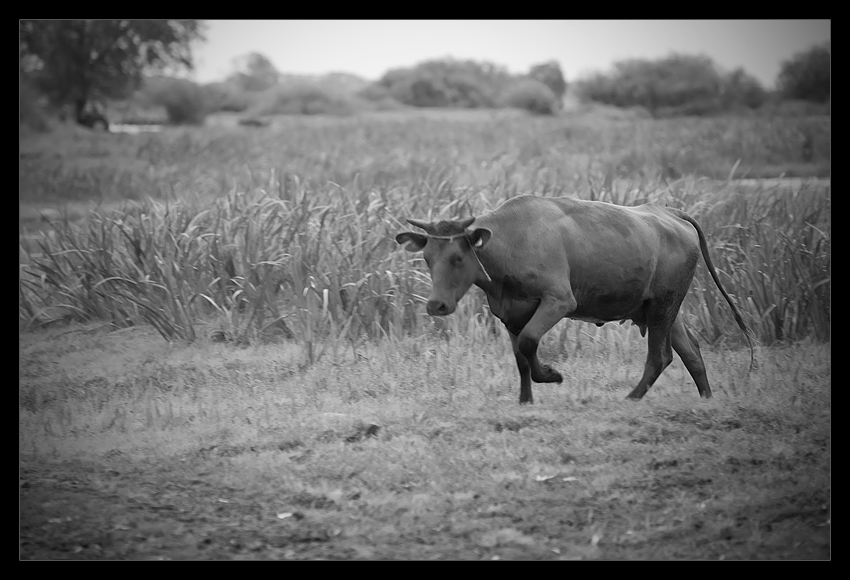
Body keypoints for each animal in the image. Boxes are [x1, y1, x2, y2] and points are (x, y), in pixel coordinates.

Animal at [394, 195, 752, 404]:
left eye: (457, 257)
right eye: (427, 257)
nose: (436, 305)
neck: (511, 240)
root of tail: (669, 212)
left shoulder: (560, 300)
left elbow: (529, 342)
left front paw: (552, 375)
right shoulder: (510, 313)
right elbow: (520, 358)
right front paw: (525, 401)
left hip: (664, 307)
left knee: (660, 356)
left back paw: (631, 399)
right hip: (663, 309)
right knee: (691, 353)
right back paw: (706, 400)